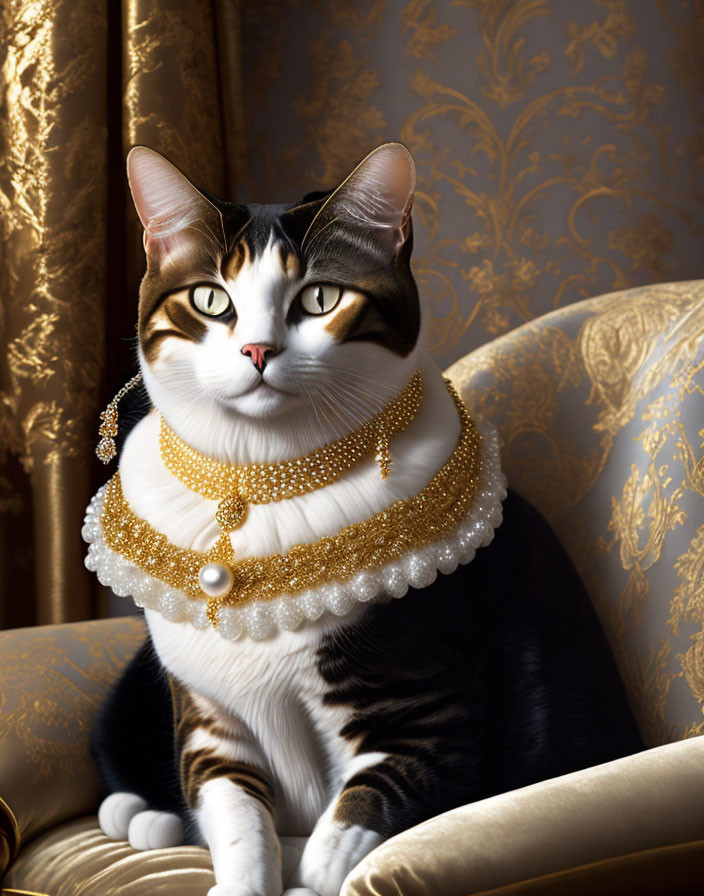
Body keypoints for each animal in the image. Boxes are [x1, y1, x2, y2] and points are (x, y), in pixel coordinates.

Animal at [89, 145, 644, 896]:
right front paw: (242, 875)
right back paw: (143, 815)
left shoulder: (425, 710)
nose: (257, 351)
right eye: (210, 298)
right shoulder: (209, 722)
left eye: (321, 297)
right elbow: (233, 811)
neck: (258, 483)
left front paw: (316, 873)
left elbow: (364, 809)